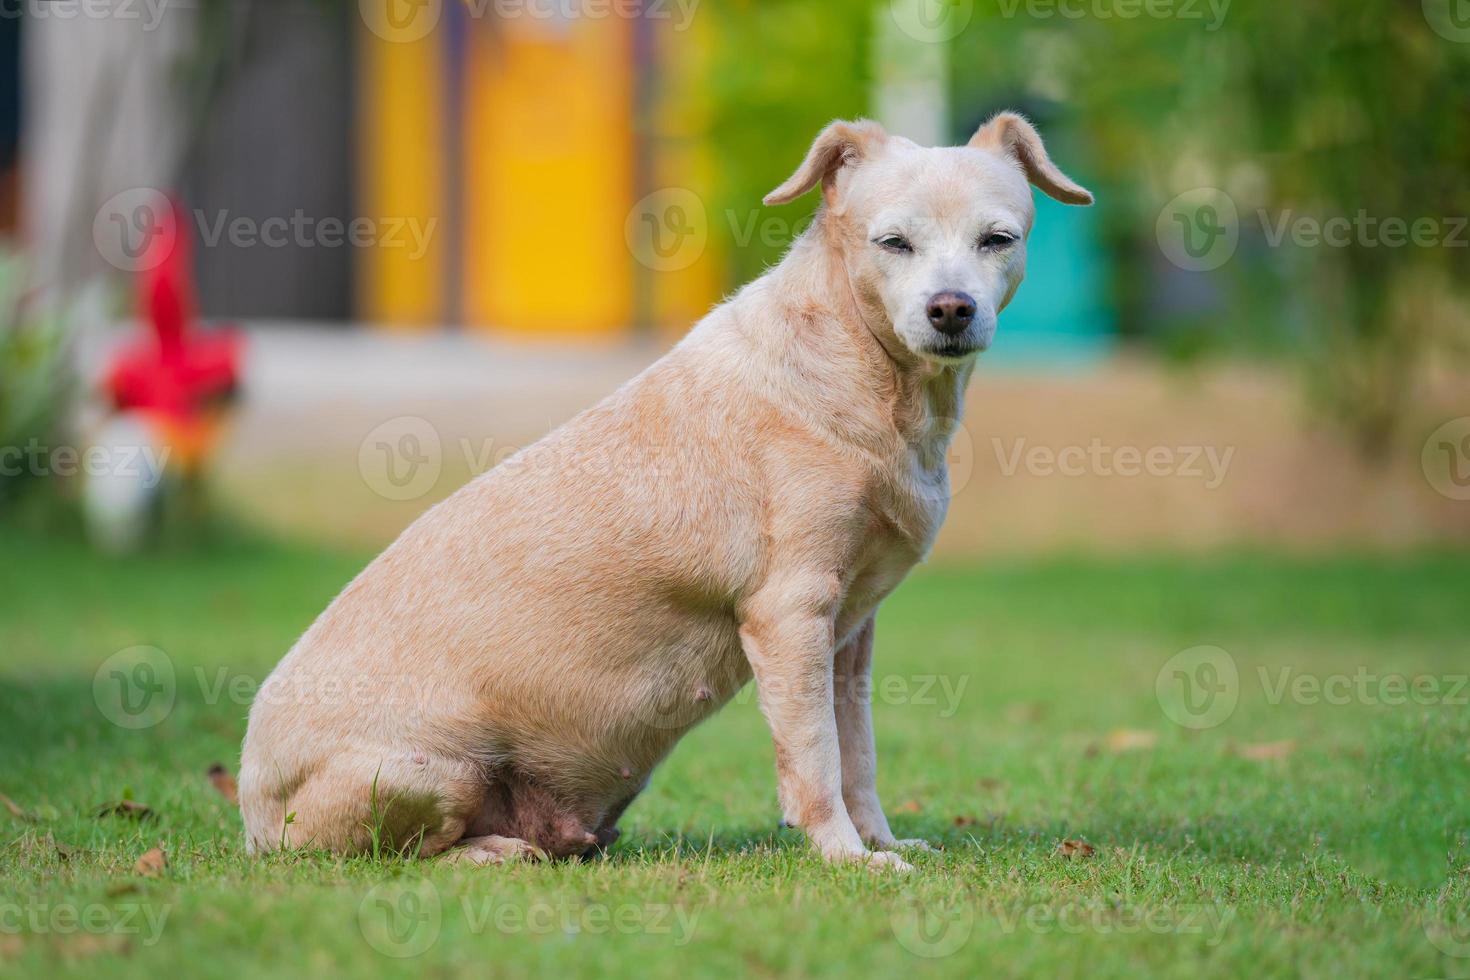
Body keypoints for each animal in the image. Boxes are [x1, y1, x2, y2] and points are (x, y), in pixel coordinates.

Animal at [241, 115, 1087, 875]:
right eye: (893, 243)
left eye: (997, 239)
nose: (951, 308)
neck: (860, 368)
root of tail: (253, 818)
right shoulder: (790, 613)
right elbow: (815, 758)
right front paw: (848, 859)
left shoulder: (852, 631)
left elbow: (859, 755)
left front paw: (883, 841)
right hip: (428, 770)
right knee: (401, 854)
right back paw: (494, 851)